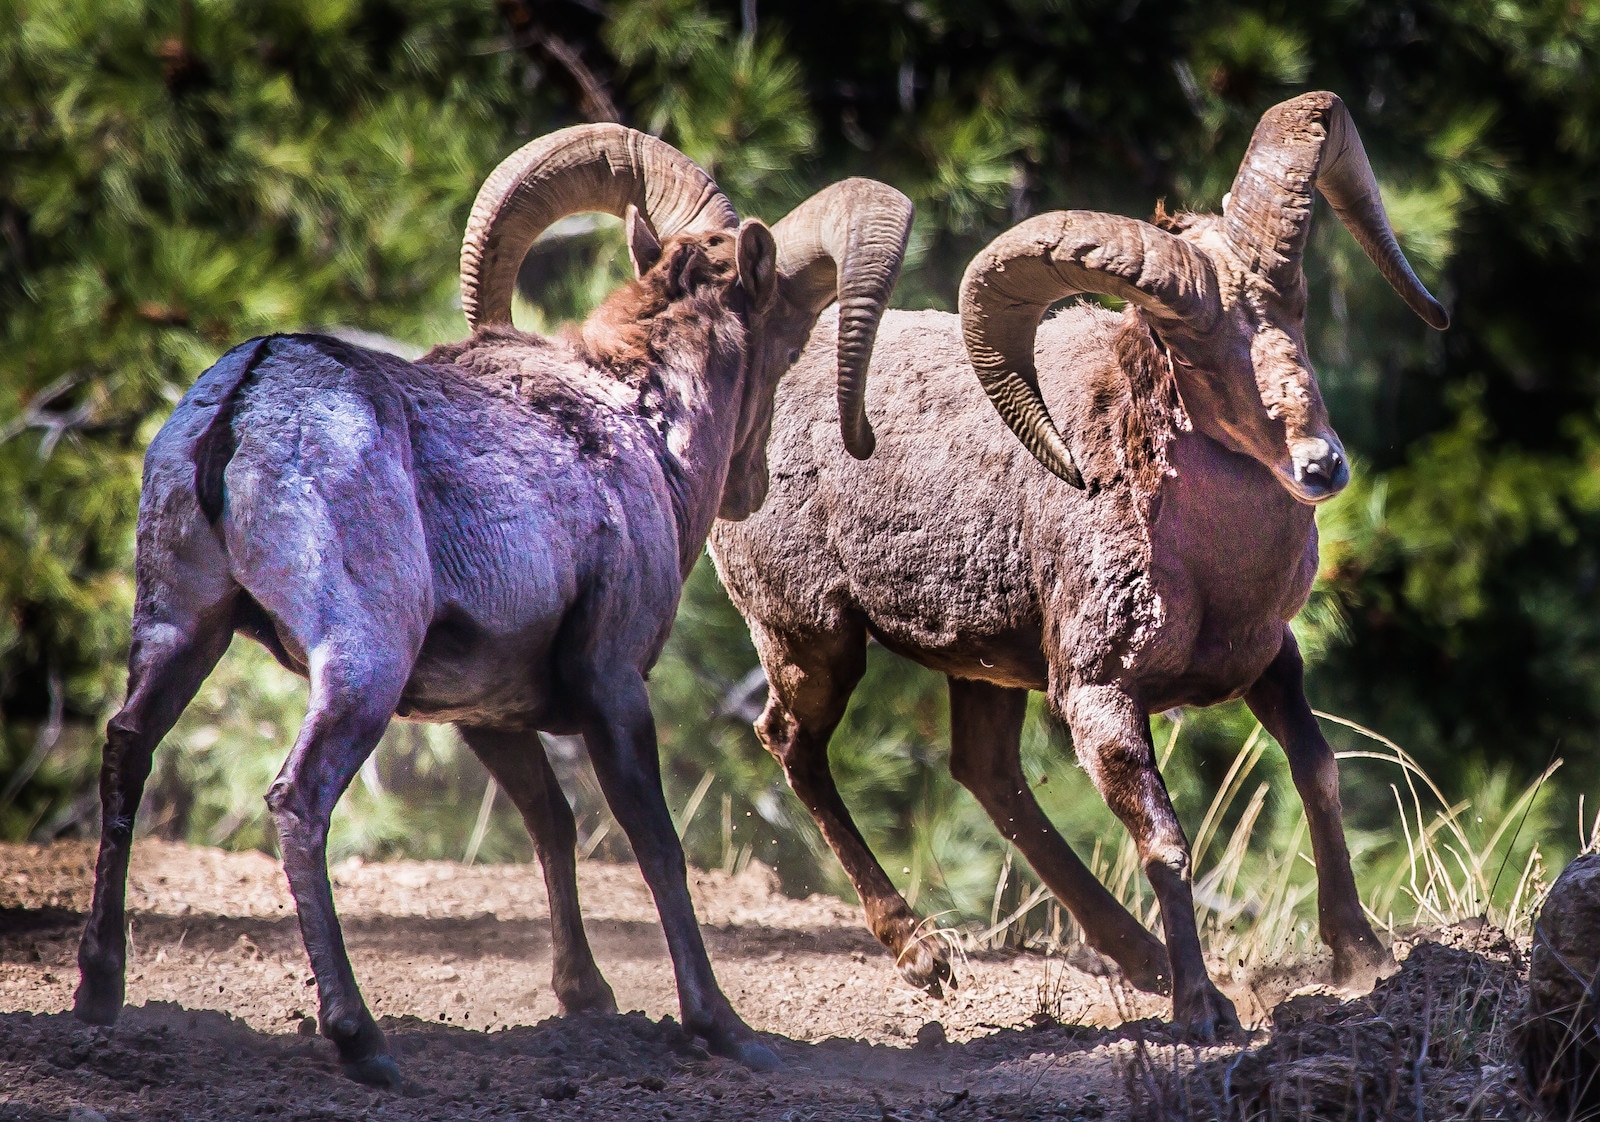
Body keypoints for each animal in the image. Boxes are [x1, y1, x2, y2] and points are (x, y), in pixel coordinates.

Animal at [78, 127, 915, 1081]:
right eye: (785, 337)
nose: (751, 488)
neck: (643, 425)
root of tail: (242, 411)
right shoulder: (612, 686)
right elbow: (656, 846)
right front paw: (725, 1029)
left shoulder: (487, 716)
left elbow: (552, 823)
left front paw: (586, 995)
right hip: (360, 667)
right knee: (299, 798)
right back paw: (361, 1040)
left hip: (182, 628)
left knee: (127, 748)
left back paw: (99, 991)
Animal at [713, 92, 1452, 1037]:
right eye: (1191, 352)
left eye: (1298, 307)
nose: (1320, 465)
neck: (1209, 572)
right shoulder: (1101, 699)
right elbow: (1166, 843)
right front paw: (1205, 1009)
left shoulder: (1270, 661)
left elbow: (1317, 773)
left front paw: (1361, 954)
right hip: (811, 639)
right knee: (794, 745)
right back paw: (925, 954)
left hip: (980, 670)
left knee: (986, 773)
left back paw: (1137, 959)